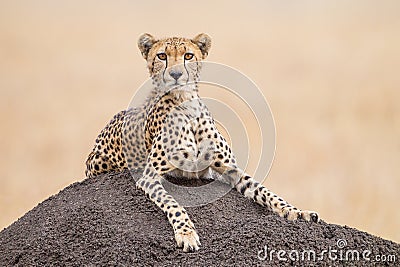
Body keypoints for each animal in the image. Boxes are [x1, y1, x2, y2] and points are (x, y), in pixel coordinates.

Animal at [86, 33, 318, 253]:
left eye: (188, 56)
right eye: (162, 56)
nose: (176, 75)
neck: (185, 104)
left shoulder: (227, 170)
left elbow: (264, 191)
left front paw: (298, 212)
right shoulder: (149, 177)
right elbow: (174, 204)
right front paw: (186, 234)